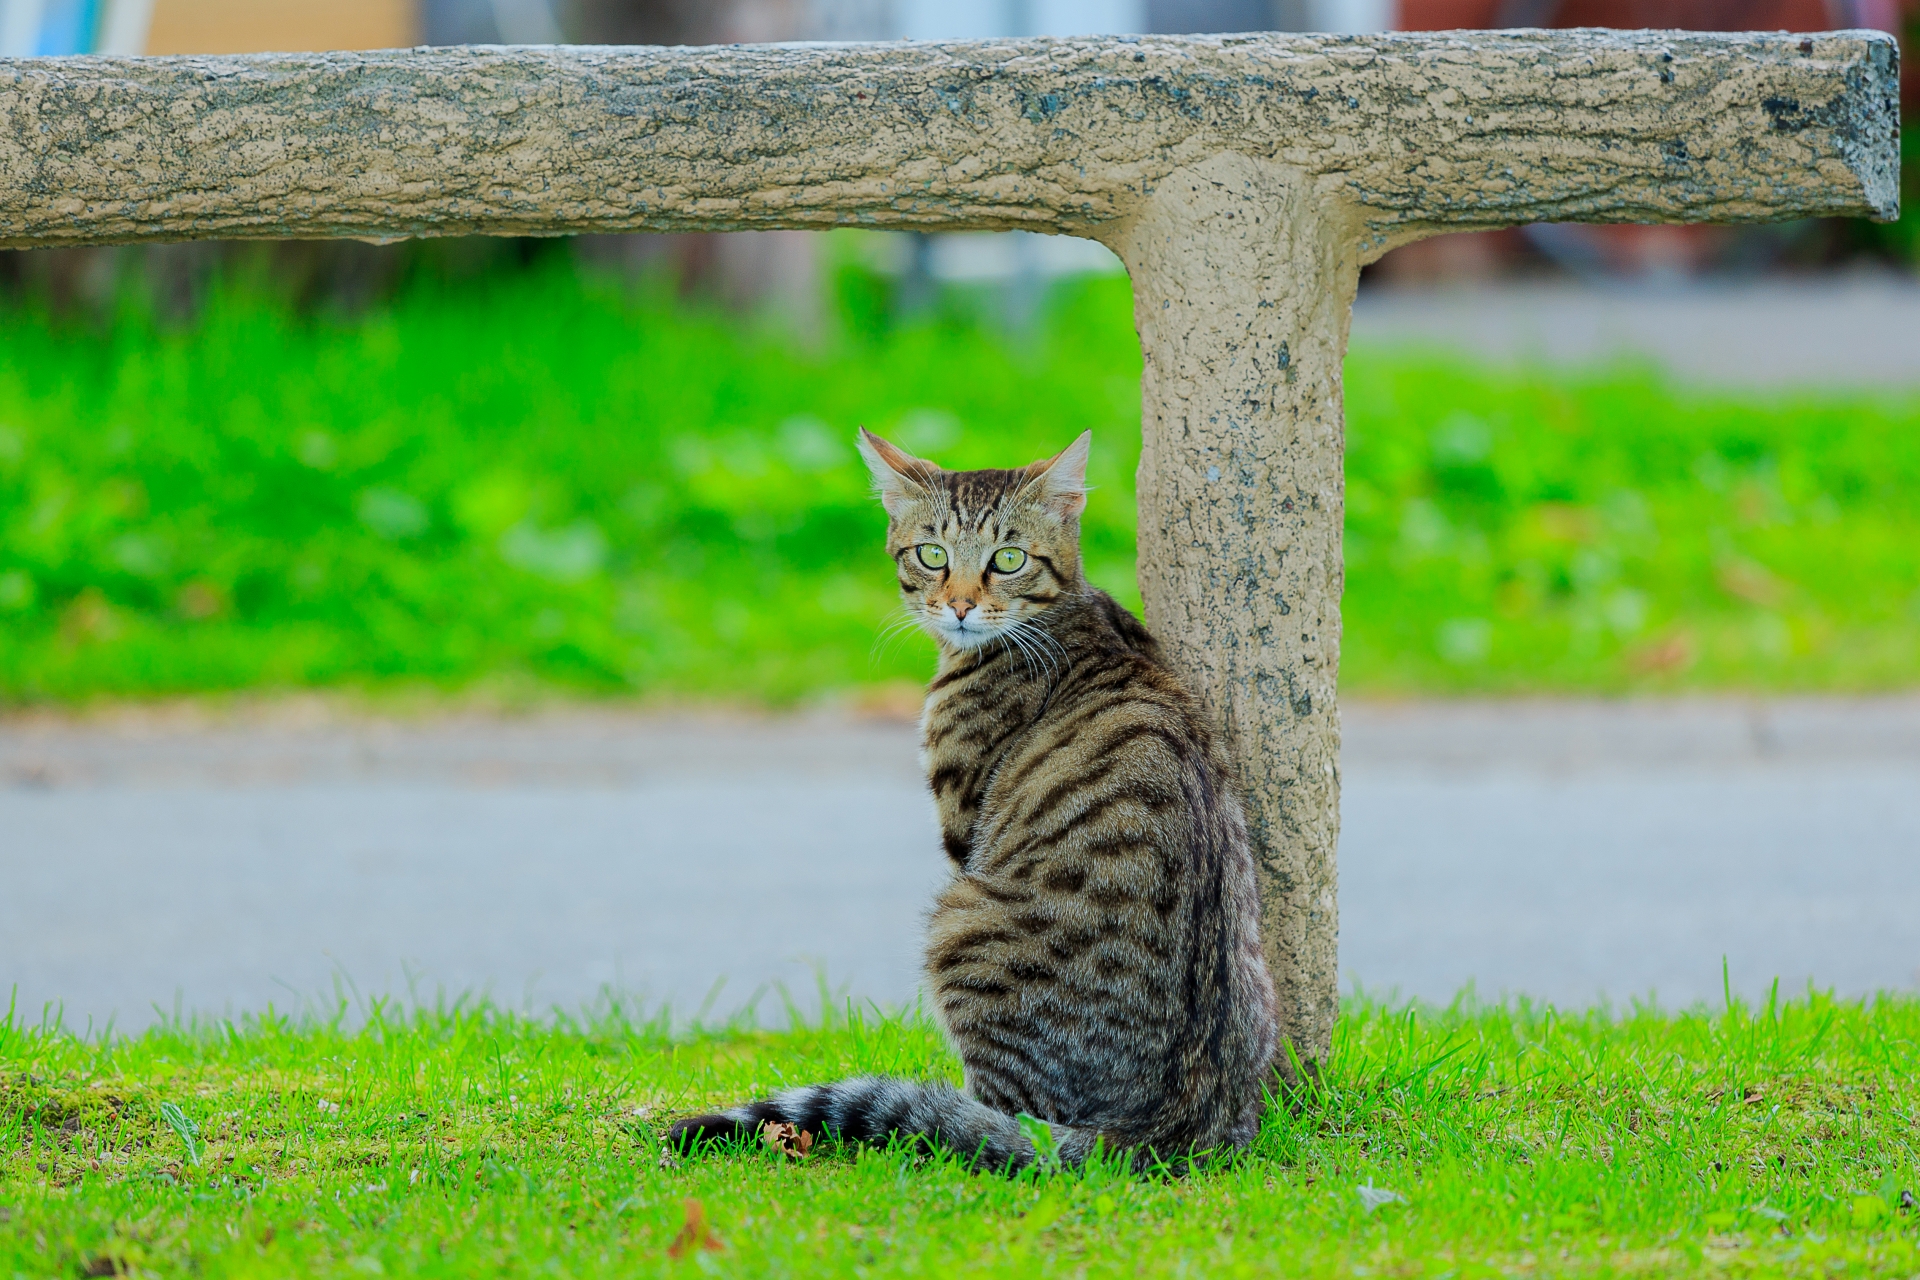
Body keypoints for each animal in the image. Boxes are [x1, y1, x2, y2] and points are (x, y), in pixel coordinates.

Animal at [668, 429, 1282, 1174]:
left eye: (1007, 558)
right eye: (932, 554)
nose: (959, 605)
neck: (1067, 612)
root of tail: (1167, 1124)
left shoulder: (961, 828)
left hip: (958, 921)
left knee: (999, 1119)